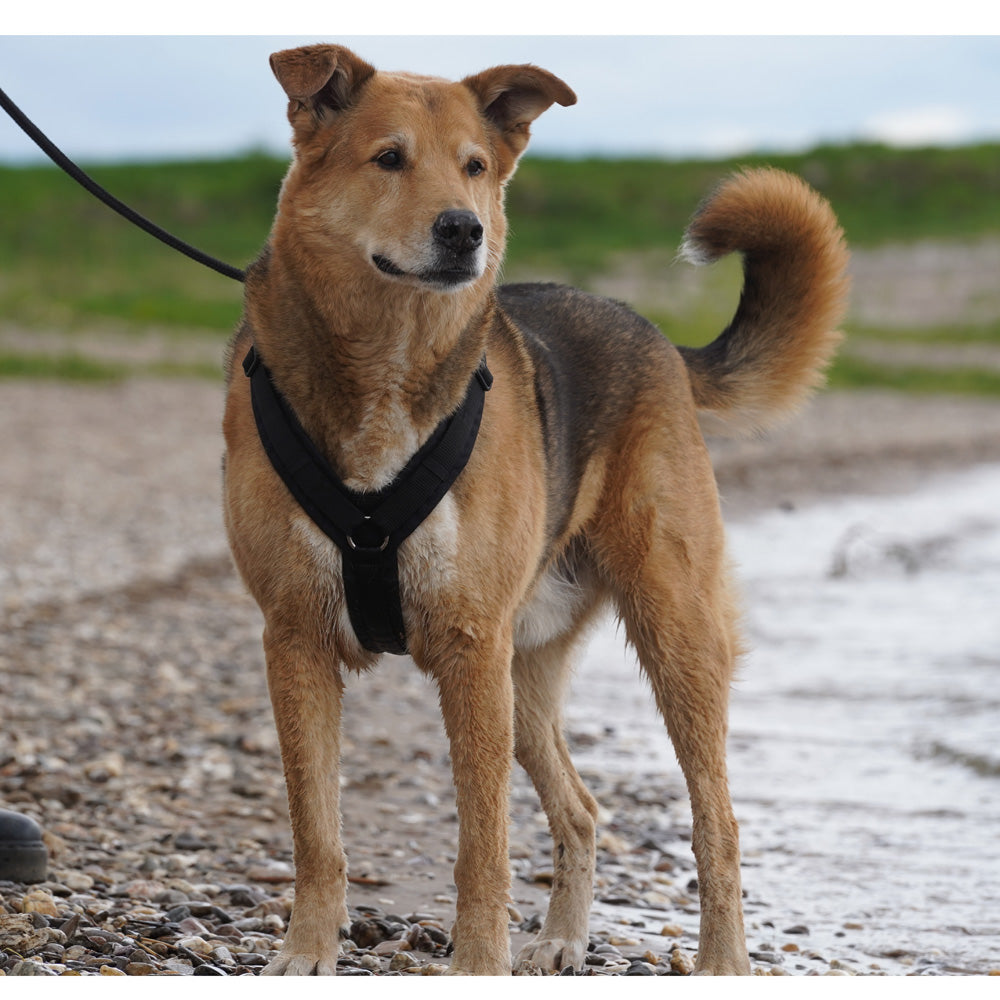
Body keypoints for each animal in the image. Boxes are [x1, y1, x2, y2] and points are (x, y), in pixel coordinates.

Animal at [223, 43, 848, 972]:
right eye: (389, 158)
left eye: (475, 168)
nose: (463, 230)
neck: (386, 363)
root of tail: (659, 338)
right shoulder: (296, 636)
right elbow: (316, 829)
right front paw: (307, 950)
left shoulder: (469, 646)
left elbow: (483, 843)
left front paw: (479, 963)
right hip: (523, 676)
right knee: (583, 809)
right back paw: (560, 938)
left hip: (673, 636)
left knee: (719, 824)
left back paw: (721, 961)